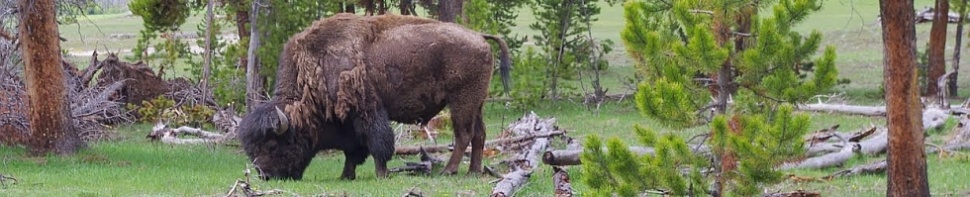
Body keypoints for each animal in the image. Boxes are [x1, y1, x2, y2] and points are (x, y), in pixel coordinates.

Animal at [238, 13, 510, 180]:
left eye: (273, 145)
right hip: (477, 103)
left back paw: (449, 171)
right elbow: (354, 150)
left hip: (461, 102)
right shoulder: (348, 122)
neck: (316, 68)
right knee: (479, 134)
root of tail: (479, 36)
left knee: (463, 134)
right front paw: (346, 176)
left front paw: (381, 174)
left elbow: (378, 143)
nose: (264, 175)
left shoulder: (367, 110)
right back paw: (473, 171)